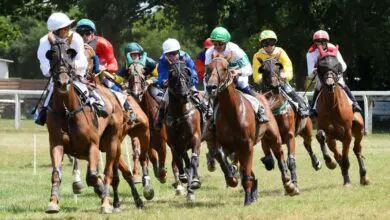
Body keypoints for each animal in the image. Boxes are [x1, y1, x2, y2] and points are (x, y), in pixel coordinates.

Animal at [44, 33, 144, 214]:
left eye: (70, 54)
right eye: (51, 55)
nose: (63, 82)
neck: (67, 110)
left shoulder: (92, 144)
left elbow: (93, 175)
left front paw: (103, 194)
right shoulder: (57, 144)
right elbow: (56, 173)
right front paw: (53, 202)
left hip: (113, 142)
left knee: (110, 172)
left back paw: (112, 201)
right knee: (122, 171)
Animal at [206, 52, 298, 205]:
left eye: (225, 68)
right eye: (209, 68)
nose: (211, 87)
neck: (232, 113)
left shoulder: (247, 146)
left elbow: (246, 174)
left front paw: (247, 200)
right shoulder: (228, 145)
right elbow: (222, 158)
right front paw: (232, 178)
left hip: (274, 136)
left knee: (280, 157)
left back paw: (289, 184)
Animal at [260, 57, 322, 192]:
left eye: (278, 67)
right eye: (264, 69)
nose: (274, 85)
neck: (277, 111)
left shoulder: (290, 136)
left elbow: (291, 161)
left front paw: (294, 183)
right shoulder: (270, 139)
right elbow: (277, 161)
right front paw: (287, 182)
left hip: (306, 130)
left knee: (308, 145)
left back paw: (316, 163)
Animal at [314, 52, 368, 186]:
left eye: (336, 67)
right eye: (321, 68)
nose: (330, 84)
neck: (332, 105)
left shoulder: (347, 134)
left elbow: (345, 158)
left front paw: (347, 181)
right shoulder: (329, 134)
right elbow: (322, 138)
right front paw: (331, 163)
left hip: (358, 127)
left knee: (357, 149)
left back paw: (364, 177)